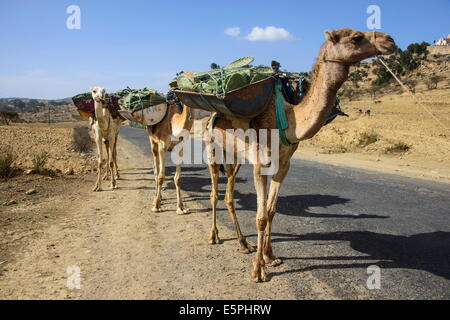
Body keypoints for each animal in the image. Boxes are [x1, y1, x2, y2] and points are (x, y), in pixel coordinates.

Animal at [205, 28, 398, 282]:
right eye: (356, 37)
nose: (390, 41)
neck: (289, 120)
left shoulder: (284, 164)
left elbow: (271, 211)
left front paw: (270, 256)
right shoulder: (260, 165)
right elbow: (260, 217)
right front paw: (258, 270)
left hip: (234, 157)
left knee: (228, 195)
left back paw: (244, 244)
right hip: (212, 150)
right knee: (214, 194)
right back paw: (214, 236)